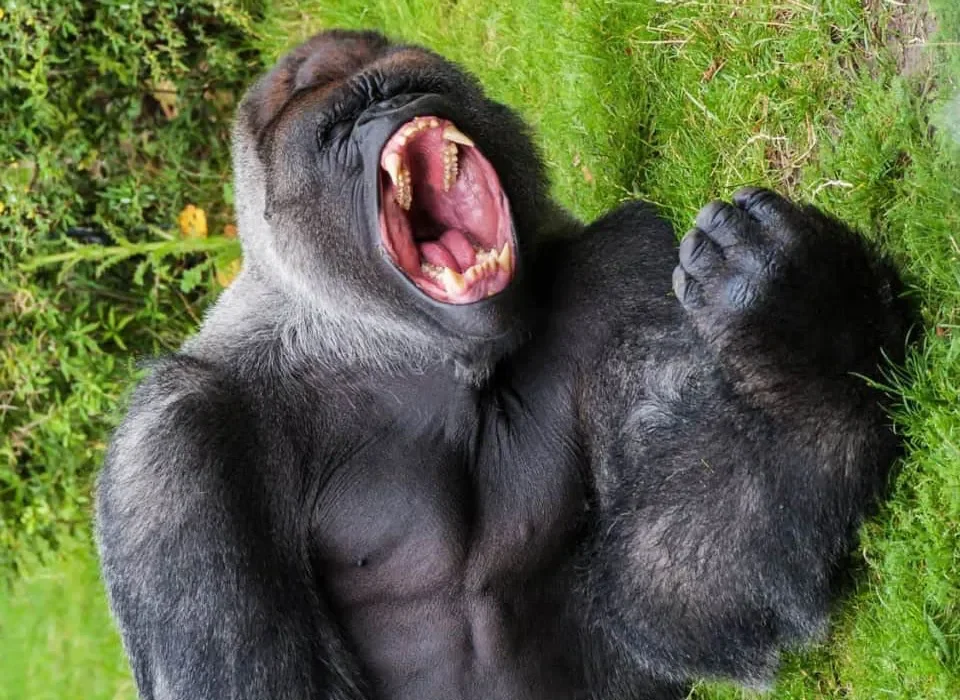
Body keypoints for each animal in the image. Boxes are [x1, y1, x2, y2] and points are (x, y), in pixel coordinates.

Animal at [95, 29, 914, 700]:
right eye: (337, 128)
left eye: (401, 87)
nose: (389, 111)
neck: (385, 343)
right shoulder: (168, 444)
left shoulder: (620, 260)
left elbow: (675, 592)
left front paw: (803, 339)